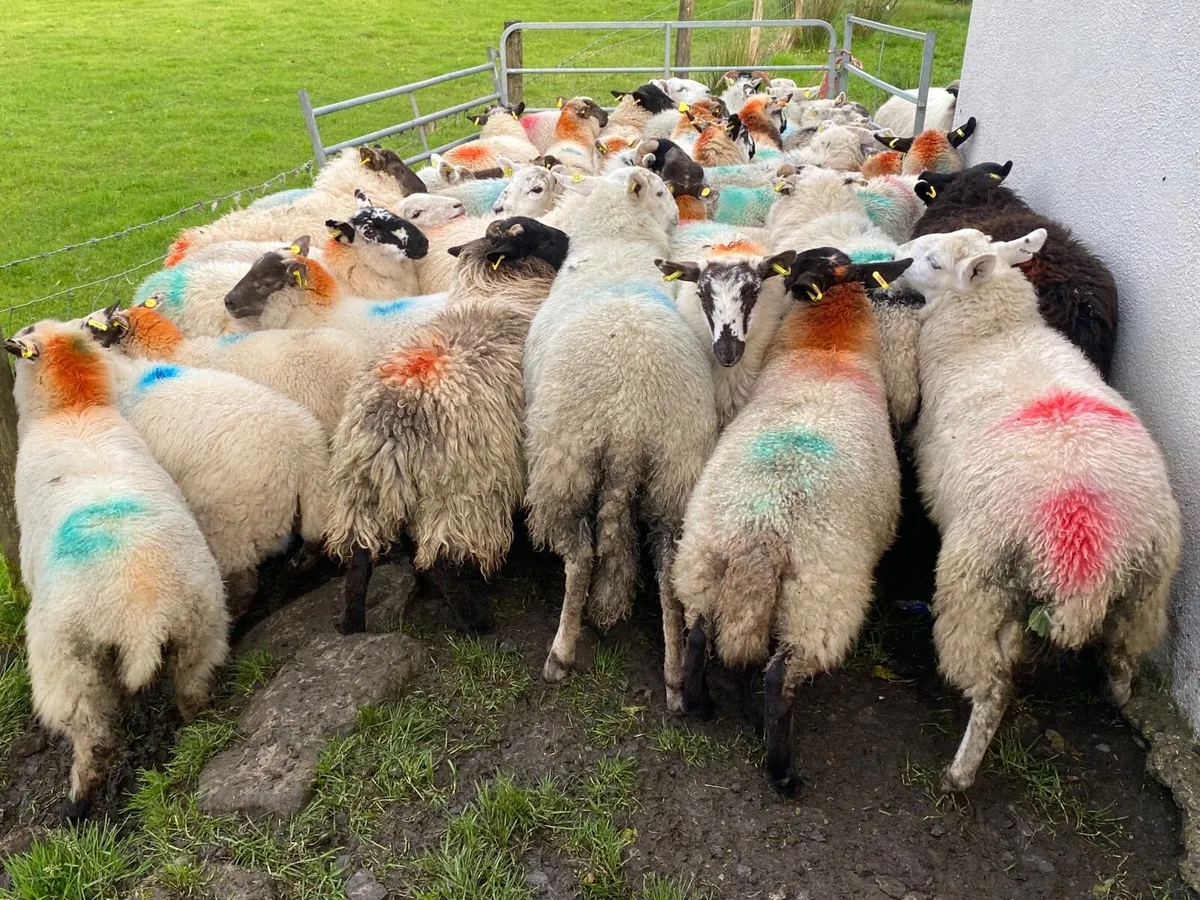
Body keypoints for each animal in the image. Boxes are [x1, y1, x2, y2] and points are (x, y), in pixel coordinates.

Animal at [6, 321, 228, 819]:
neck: (74, 410)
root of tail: (141, 615)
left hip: (69, 667)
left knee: (95, 737)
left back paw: (77, 805)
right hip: (199, 627)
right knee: (192, 689)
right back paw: (195, 732)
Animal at [326, 217, 570, 634]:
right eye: (541, 236)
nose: (569, 239)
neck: (499, 292)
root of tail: (392, 424)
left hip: (360, 484)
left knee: (360, 556)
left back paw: (352, 624)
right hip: (463, 487)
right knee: (440, 559)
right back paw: (477, 623)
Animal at [523, 168, 717, 702]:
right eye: (662, 191)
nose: (677, 218)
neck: (618, 243)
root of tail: (629, 421)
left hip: (564, 465)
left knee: (581, 559)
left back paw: (560, 653)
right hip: (676, 472)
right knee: (668, 574)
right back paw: (674, 677)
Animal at [673, 251, 910, 795]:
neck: (829, 349)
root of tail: (762, 536)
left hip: (700, 560)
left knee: (697, 634)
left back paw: (700, 706)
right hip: (817, 605)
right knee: (779, 678)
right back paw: (782, 772)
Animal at [893, 227, 1180, 792]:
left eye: (933, 262)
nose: (893, 257)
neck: (993, 334)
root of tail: (1086, 556)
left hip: (976, 588)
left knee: (992, 688)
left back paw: (960, 772)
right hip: (1145, 590)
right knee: (1123, 653)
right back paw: (1117, 696)